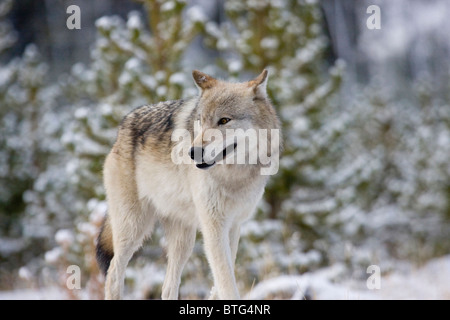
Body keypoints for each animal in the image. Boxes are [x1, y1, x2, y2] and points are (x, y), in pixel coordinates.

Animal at [96, 69, 282, 300]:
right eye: (200, 120)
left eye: (224, 120)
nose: (193, 153)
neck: (235, 176)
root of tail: (122, 127)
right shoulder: (214, 227)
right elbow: (226, 282)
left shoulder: (233, 225)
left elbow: (221, 281)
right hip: (132, 228)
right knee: (113, 272)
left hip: (183, 240)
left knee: (168, 288)